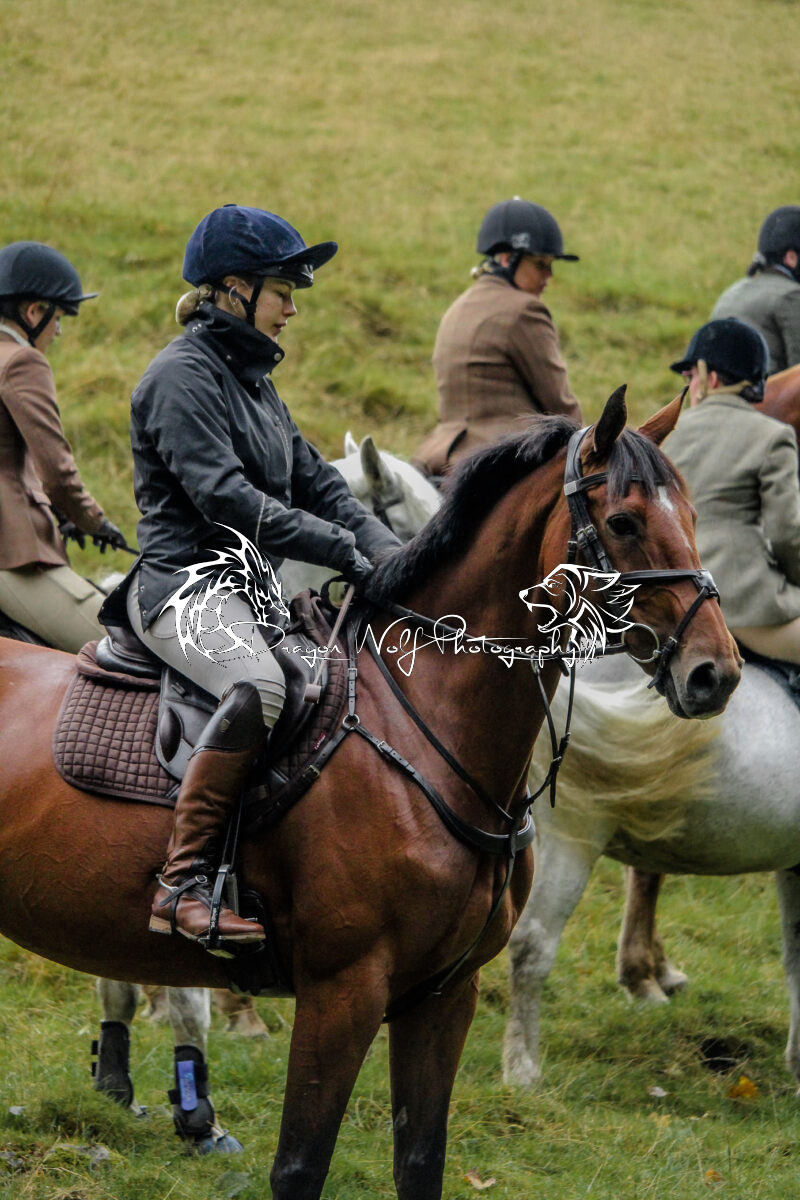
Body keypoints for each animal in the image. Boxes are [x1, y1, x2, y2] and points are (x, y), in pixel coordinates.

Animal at [0, 390, 740, 1199]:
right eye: (625, 522)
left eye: (693, 516)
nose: (716, 673)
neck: (422, 727)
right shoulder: (343, 991)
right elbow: (300, 1164)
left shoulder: (445, 994)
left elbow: (420, 1160)